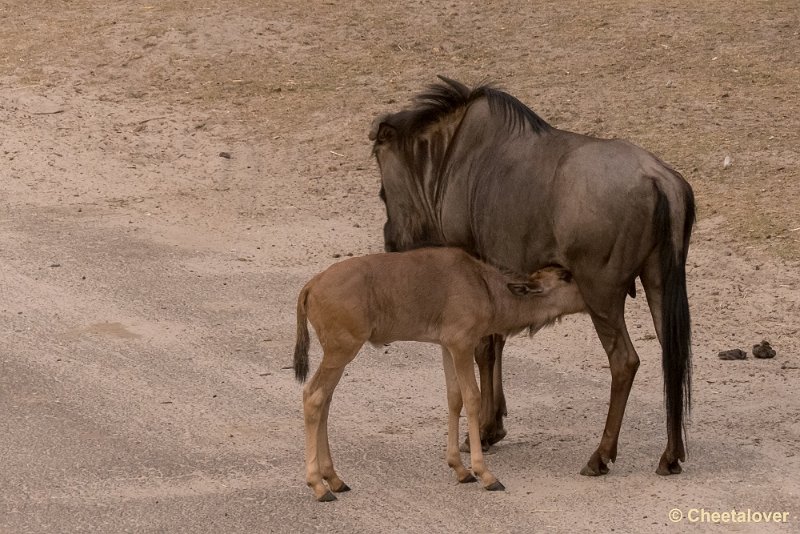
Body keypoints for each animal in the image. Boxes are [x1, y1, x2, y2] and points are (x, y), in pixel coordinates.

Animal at [290, 247, 584, 502]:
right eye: (566, 277)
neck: (484, 286)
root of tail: (311, 286)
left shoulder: (446, 346)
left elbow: (454, 398)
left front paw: (460, 469)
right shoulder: (462, 344)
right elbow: (472, 398)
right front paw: (485, 474)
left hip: (338, 356)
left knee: (326, 401)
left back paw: (334, 479)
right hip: (340, 352)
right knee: (314, 397)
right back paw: (318, 486)